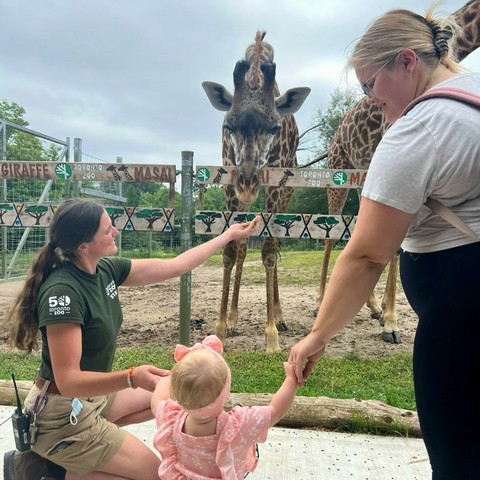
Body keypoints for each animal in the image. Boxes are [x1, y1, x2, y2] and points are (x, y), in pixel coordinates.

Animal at [202, 31, 312, 352]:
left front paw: (271, 335)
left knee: (275, 243)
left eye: (275, 128)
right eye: (228, 125)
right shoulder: (229, 180)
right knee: (242, 245)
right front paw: (222, 325)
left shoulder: (275, 185)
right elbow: (230, 249)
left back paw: (280, 316)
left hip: (284, 194)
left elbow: (269, 251)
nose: (249, 183)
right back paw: (235, 318)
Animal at [316, 0, 478, 344]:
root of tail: (336, 135)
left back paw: (372, 306)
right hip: (338, 175)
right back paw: (322, 299)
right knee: (330, 235)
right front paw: (390, 323)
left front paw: (385, 315)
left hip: (363, 176)